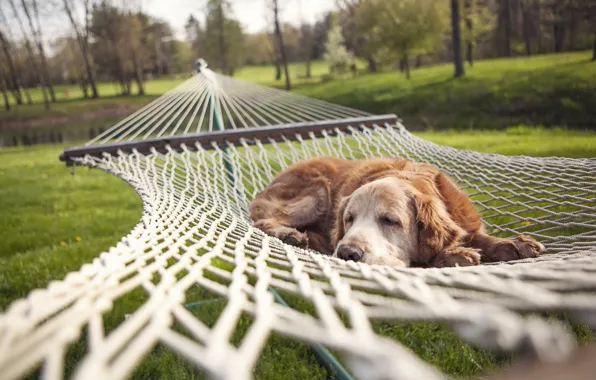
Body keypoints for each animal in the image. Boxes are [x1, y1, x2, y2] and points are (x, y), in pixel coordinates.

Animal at [248, 156, 544, 268]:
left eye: (390, 221)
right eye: (349, 219)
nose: (347, 253)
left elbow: (480, 236)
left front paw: (514, 243)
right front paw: (454, 255)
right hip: (317, 191)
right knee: (261, 220)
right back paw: (290, 234)